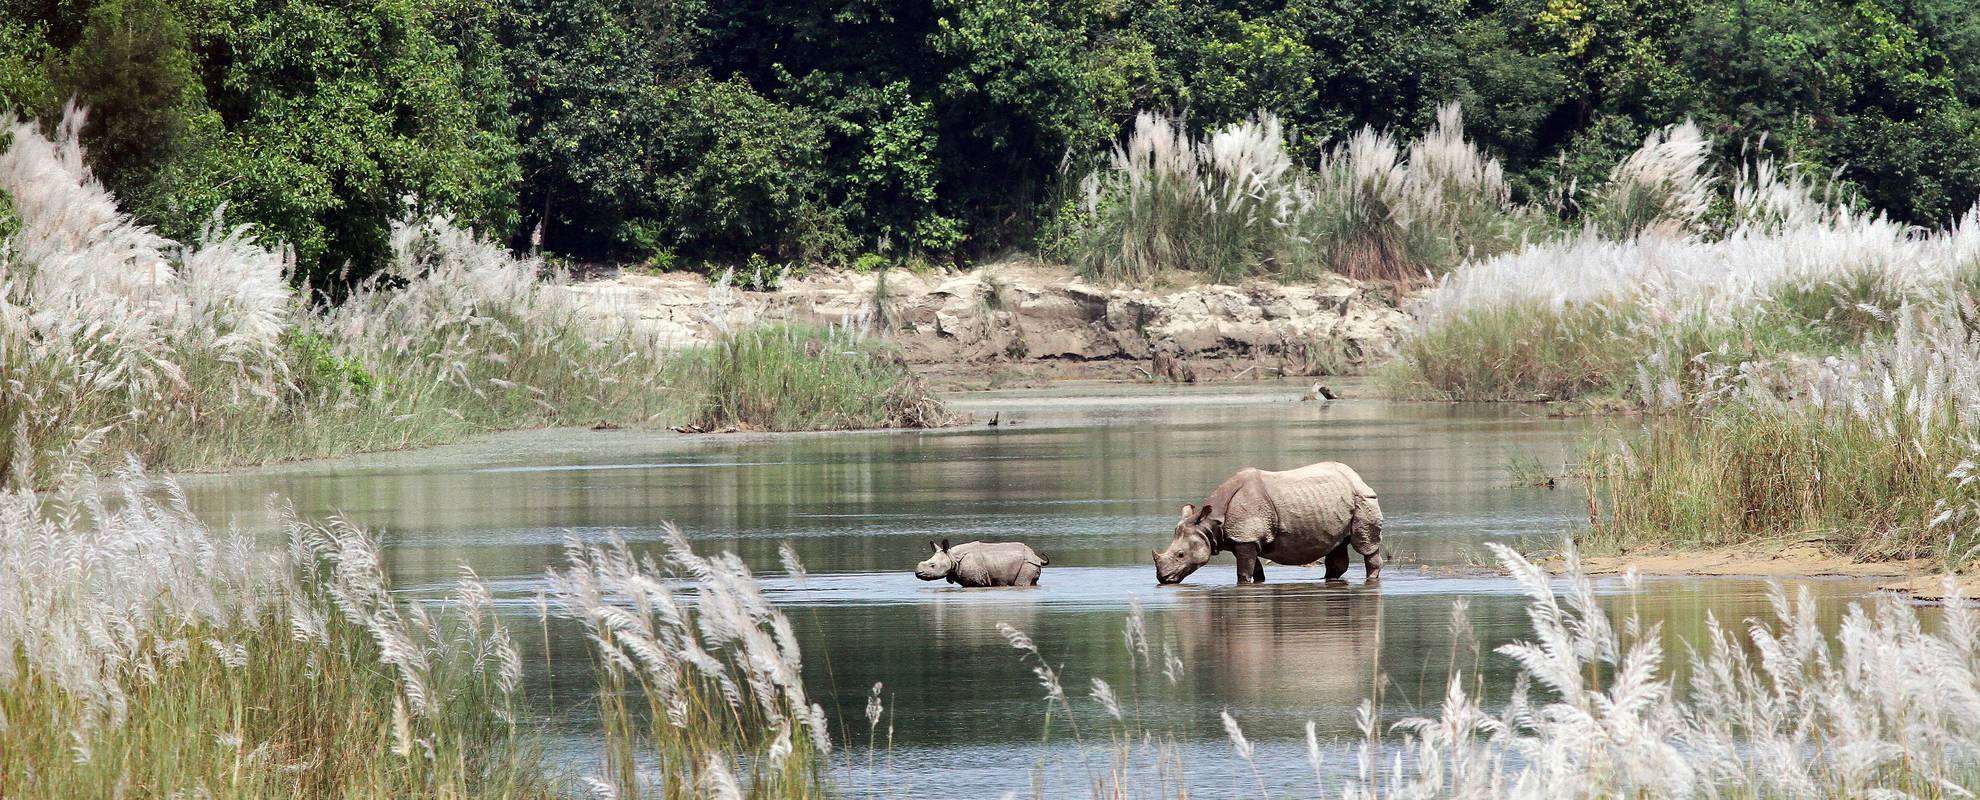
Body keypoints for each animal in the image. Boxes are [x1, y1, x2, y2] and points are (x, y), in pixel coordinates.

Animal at [918, 538, 1053, 586]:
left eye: (932, 565)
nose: (917, 573)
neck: (953, 557)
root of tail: (1036, 557)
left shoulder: (975, 580)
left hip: (1028, 562)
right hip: (1029, 562)